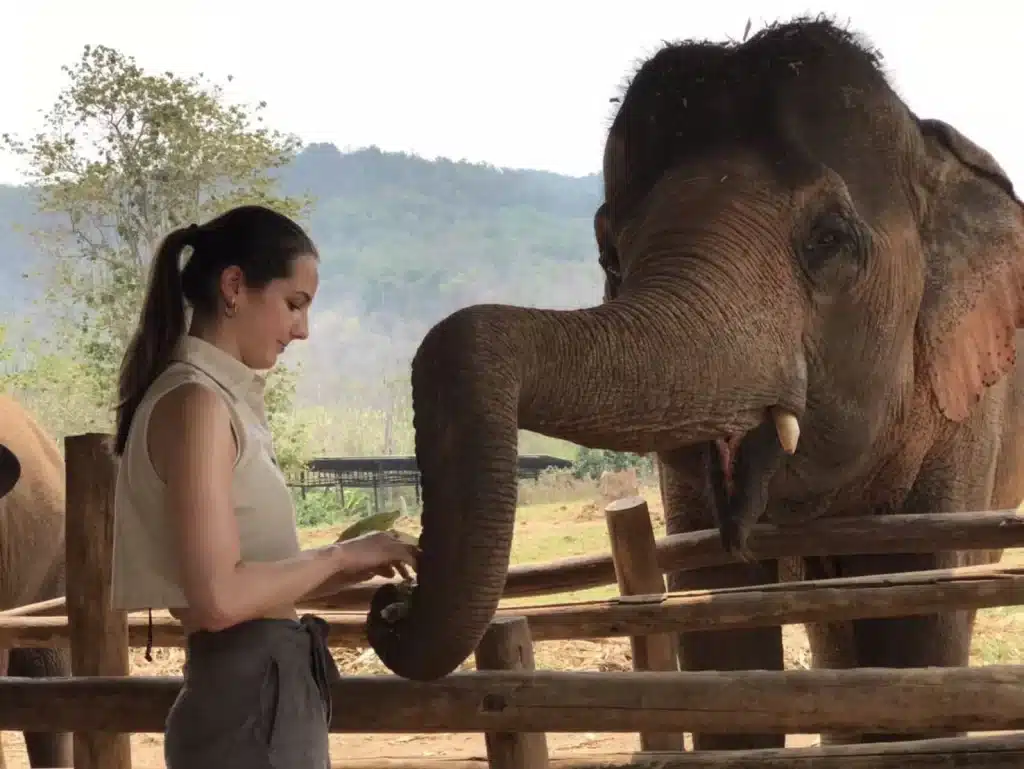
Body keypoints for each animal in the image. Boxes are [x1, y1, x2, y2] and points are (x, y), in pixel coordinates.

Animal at [366, 13, 1024, 753]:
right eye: (609, 256)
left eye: (829, 239)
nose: (391, 598)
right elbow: (719, 630)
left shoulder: (964, 423)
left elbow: (919, 621)